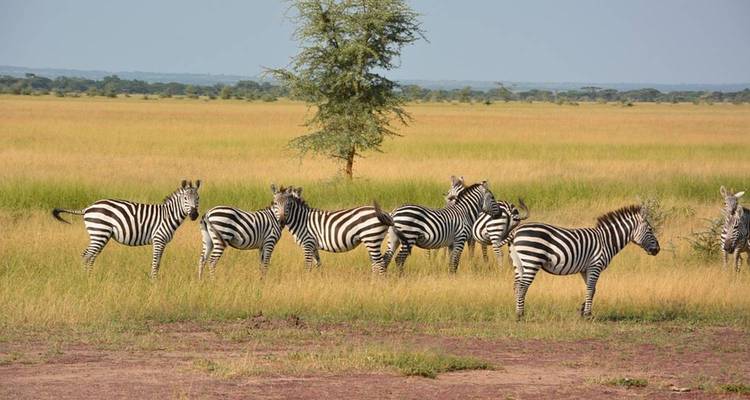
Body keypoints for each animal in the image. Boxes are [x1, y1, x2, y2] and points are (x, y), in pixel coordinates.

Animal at [52, 180, 201, 279]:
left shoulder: (163, 242)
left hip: (100, 235)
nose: (194, 215)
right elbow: (155, 263)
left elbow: (158, 262)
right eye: (185, 198)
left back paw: (89, 277)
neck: (168, 214)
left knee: (88, 255)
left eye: (198, 198)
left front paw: (154, 279)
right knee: (87, 256)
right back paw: (85, 279)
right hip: (99, 232)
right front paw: (154, 281)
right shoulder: (159, 239)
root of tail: (88, 207)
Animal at [509, 204, 660, 319]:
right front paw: (587, 314)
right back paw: (520, 314)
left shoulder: (585, 269)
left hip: (519, 263)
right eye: (650, 229)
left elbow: (592, 290)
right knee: (522, 286)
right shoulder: (595, 266)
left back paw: (517, 312)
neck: (606, 240)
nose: (657, 250)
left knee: (516, 286)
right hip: (531, 260)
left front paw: (582, 310)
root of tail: (516, 231)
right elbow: (590, 289)